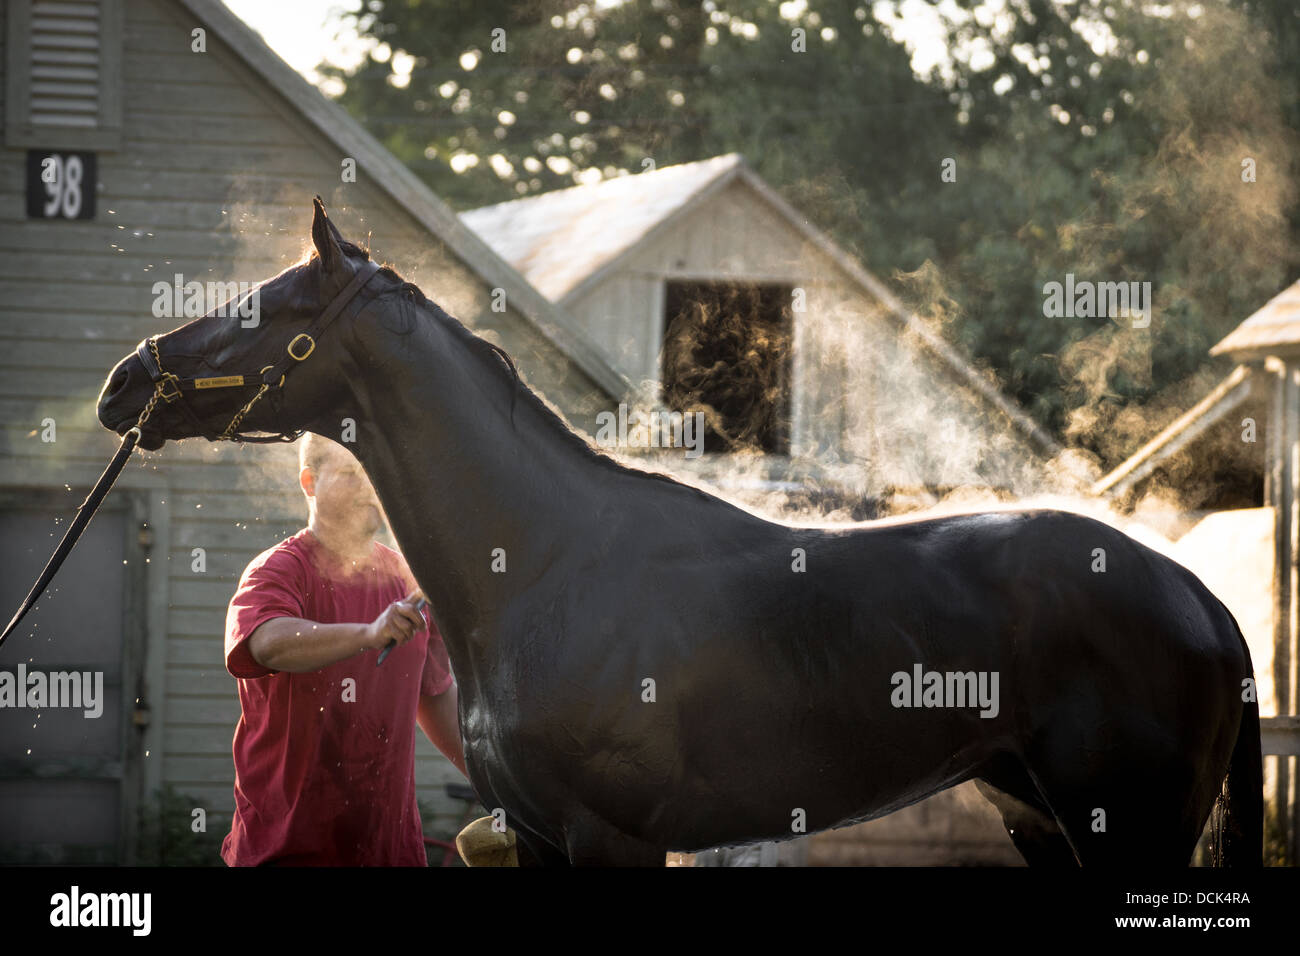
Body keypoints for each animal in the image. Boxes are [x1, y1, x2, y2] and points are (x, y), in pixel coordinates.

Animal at [98, 200, 1258, 868]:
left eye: (264, 307)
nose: (124, 384)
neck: (542, 566)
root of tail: (1200, 599)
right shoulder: (538, 841)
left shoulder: (610, 841)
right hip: (1044, 825)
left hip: (1131, 834)